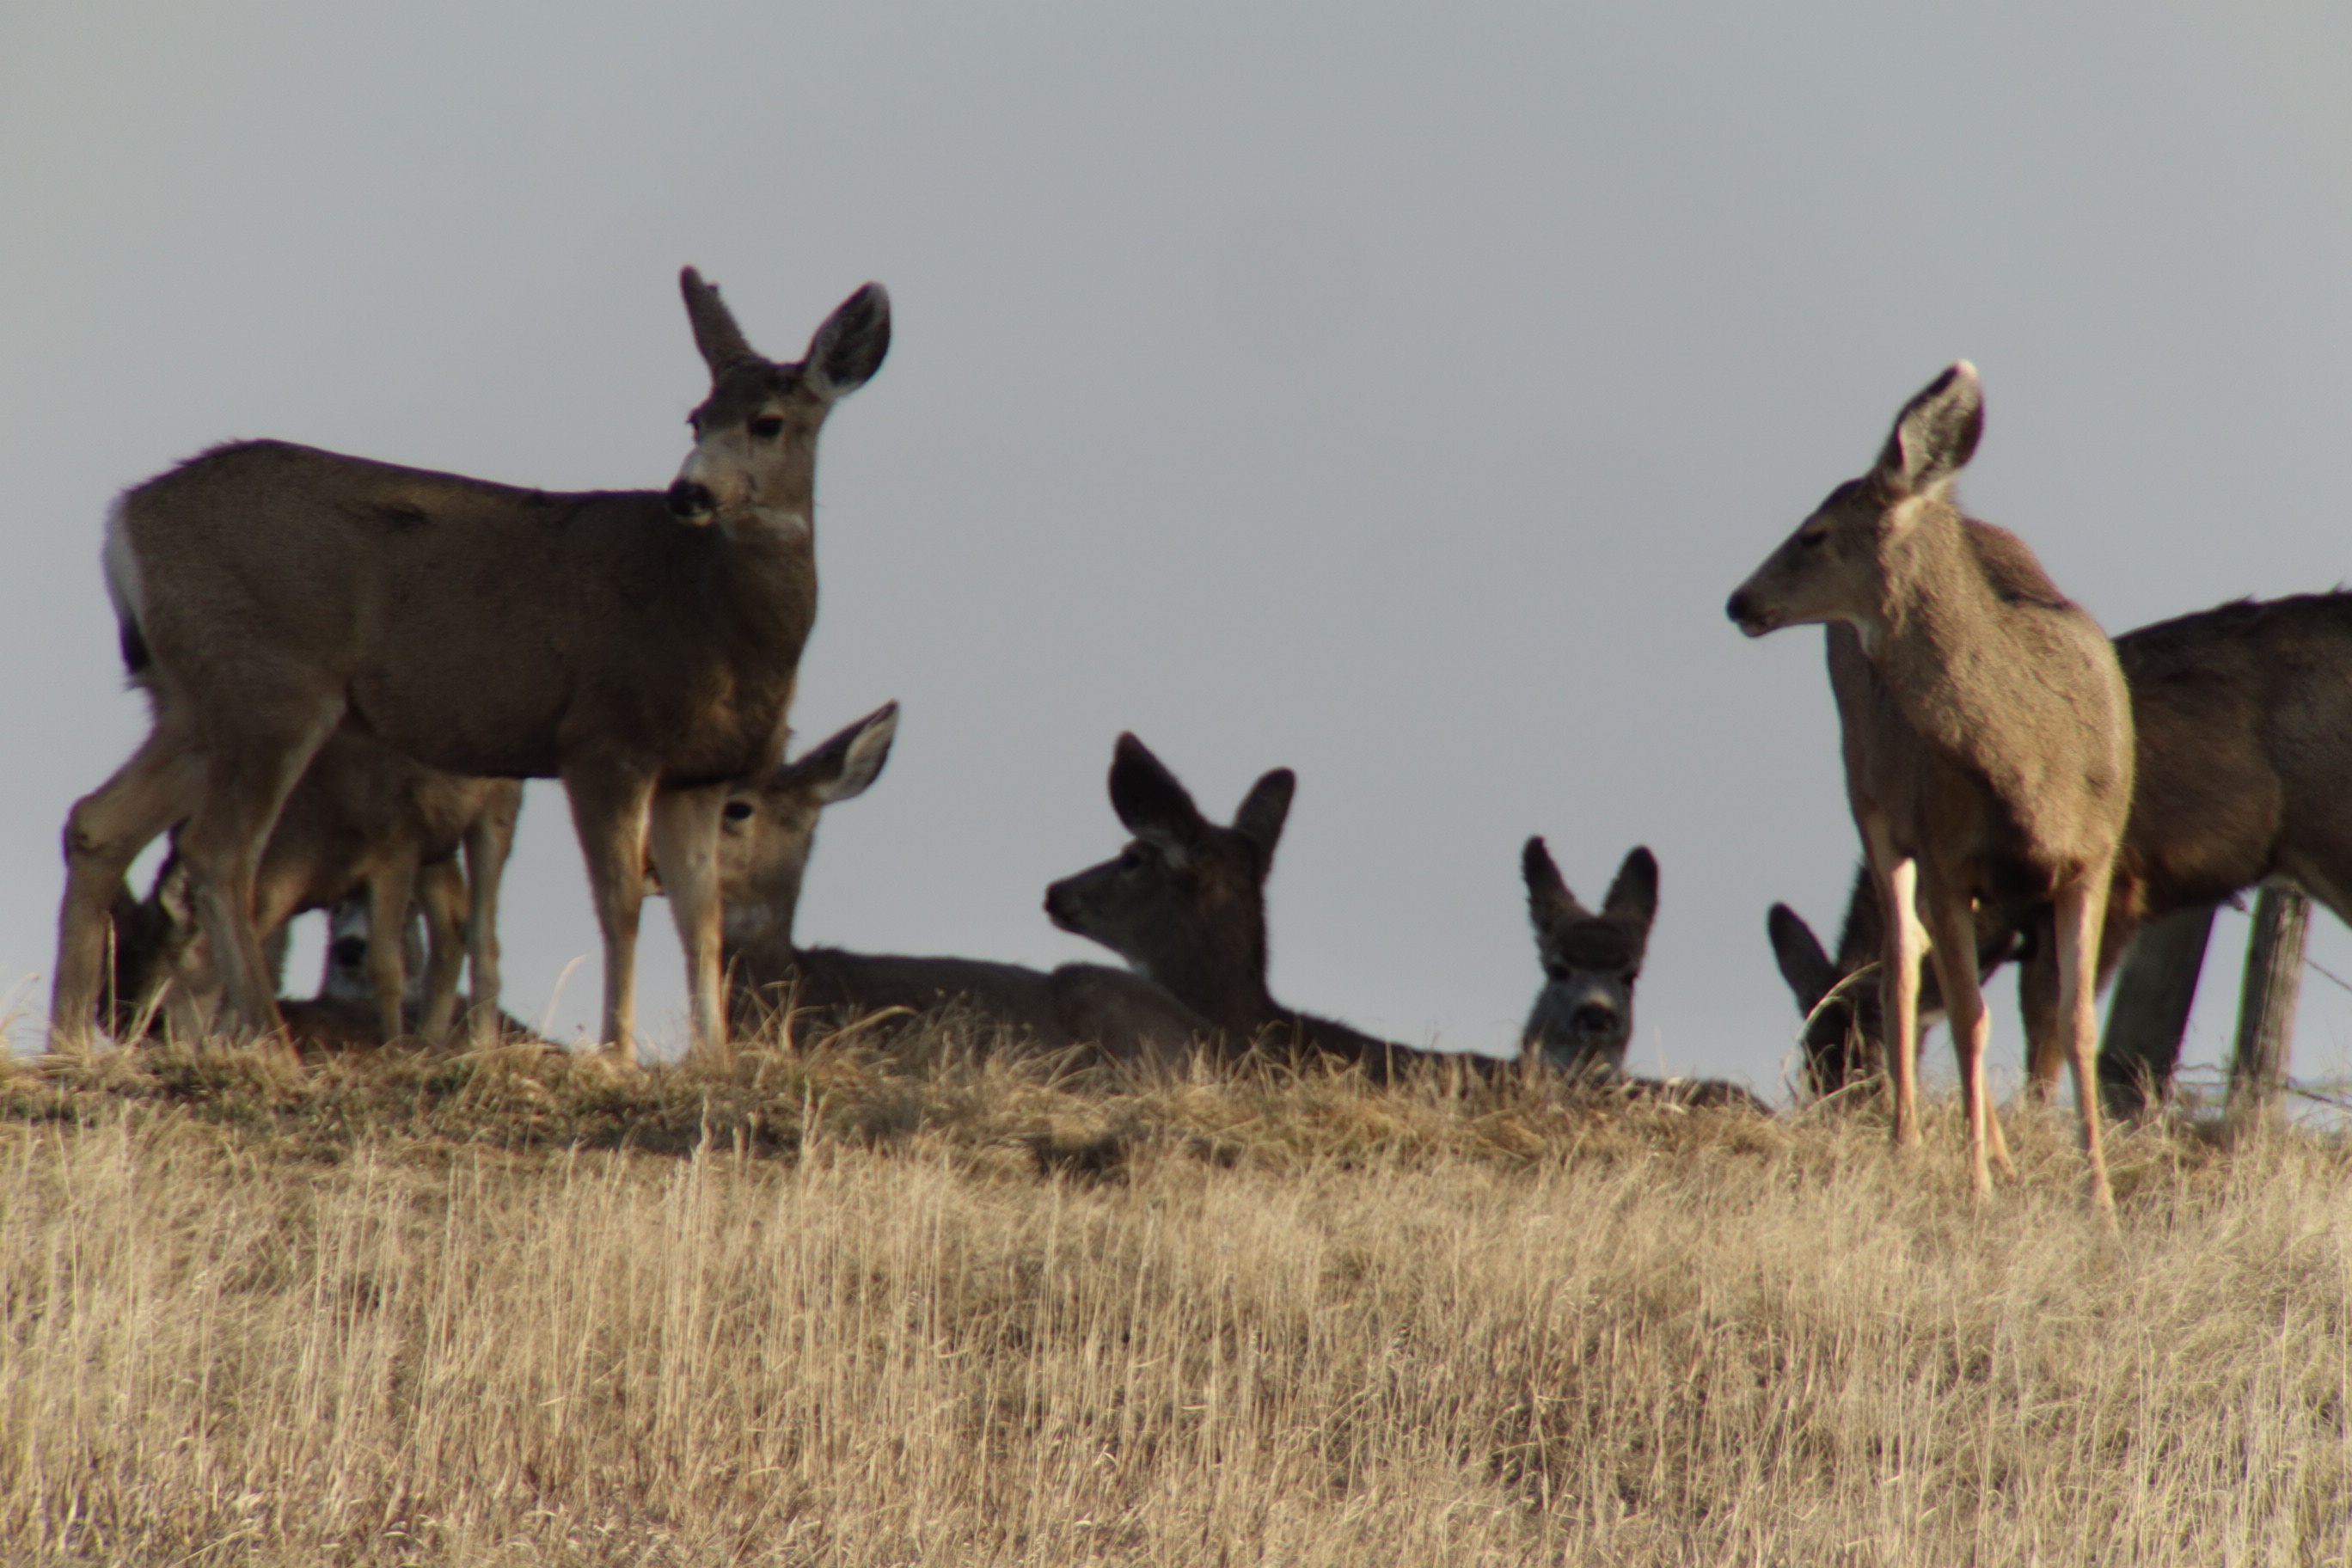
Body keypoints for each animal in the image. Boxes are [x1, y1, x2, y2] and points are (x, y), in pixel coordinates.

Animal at [55, 270, 884, 1067]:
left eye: (767, 421)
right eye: (697, 420)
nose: (689, 493)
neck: (716, 619)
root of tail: (121, 523)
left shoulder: (699, 772)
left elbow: (700, 917)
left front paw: (713, 1059)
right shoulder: (603, 739)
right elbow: (619, 904)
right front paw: (617, 1053)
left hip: (188, 701)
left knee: (97, 821)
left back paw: (66, 1040)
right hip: (269, 686)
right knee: (220, 853)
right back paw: (270, 1041)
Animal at [1730, 362, 2135, 1213]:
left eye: (1814, 533)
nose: (1739, 601)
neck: (2034, 767)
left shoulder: (2093, 857)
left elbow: (2077, 1022)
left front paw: (2100, 1200)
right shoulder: (1948, 857)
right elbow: (1970, 1016)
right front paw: (1975, 1185)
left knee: (1927, 969)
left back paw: (1997, 1155)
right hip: (1866, 794)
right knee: (1900, 957)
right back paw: (1911, 1141)